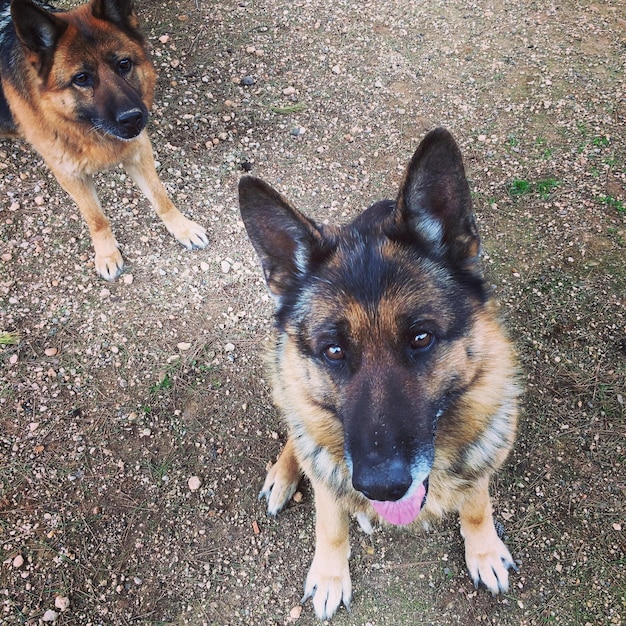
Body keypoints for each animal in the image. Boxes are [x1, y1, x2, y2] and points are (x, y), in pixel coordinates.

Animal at [0, 0, 207, 278]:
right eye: (81, 78)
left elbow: (160, 196)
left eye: (124, 64)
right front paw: (107, 254)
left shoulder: (139, 150)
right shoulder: (70, 175)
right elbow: (96, 218)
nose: (132, 118)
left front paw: (182, 227)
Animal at [238, 128, 516, 620]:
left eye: (421, 338)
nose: (382, 488)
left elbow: (476, 504)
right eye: (333, 351)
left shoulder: (483, 451)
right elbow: (330, 523)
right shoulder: (331, 485)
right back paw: (285, 472)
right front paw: (330, 576)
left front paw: (483, 550)